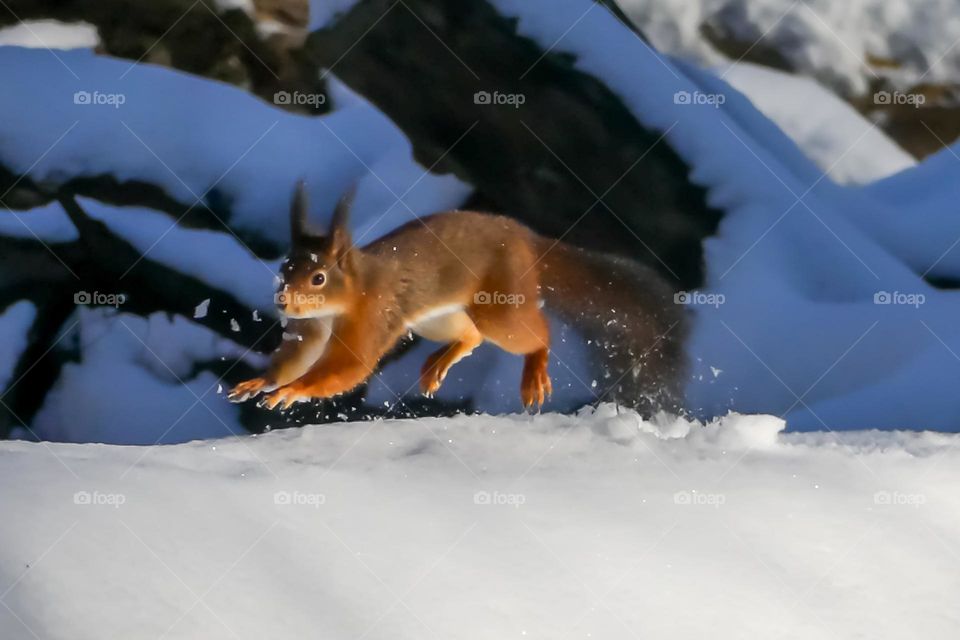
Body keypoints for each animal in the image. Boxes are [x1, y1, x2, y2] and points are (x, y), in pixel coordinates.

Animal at [230, 182, 688, 412]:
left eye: (319, 277)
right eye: (285, 268)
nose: (283, 301)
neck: (343, 301)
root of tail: (525, 238)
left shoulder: (373, 315)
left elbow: (348, 367)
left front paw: (294, 391)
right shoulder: (309, 330)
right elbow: (297, 358)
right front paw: (263, 381)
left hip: (499, 308)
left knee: (534, 333)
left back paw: (535, 373)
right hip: (437, 318)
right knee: (471, 335)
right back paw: (436, 366)